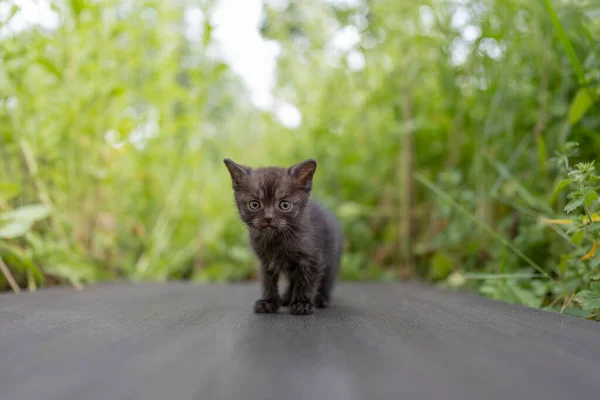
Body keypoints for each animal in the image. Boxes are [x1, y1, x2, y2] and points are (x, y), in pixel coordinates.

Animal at [224, 158, 342, 314]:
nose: (268, 218)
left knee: (327, 278)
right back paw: (286, 297)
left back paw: (322, 298)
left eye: (285, 205)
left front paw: (302, 303)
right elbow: (268, 282)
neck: (275, 239)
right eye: (254, 204)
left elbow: (306, 282)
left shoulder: (311, 259)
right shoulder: (266, 261)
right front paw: (268, 302)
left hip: (332, 257)